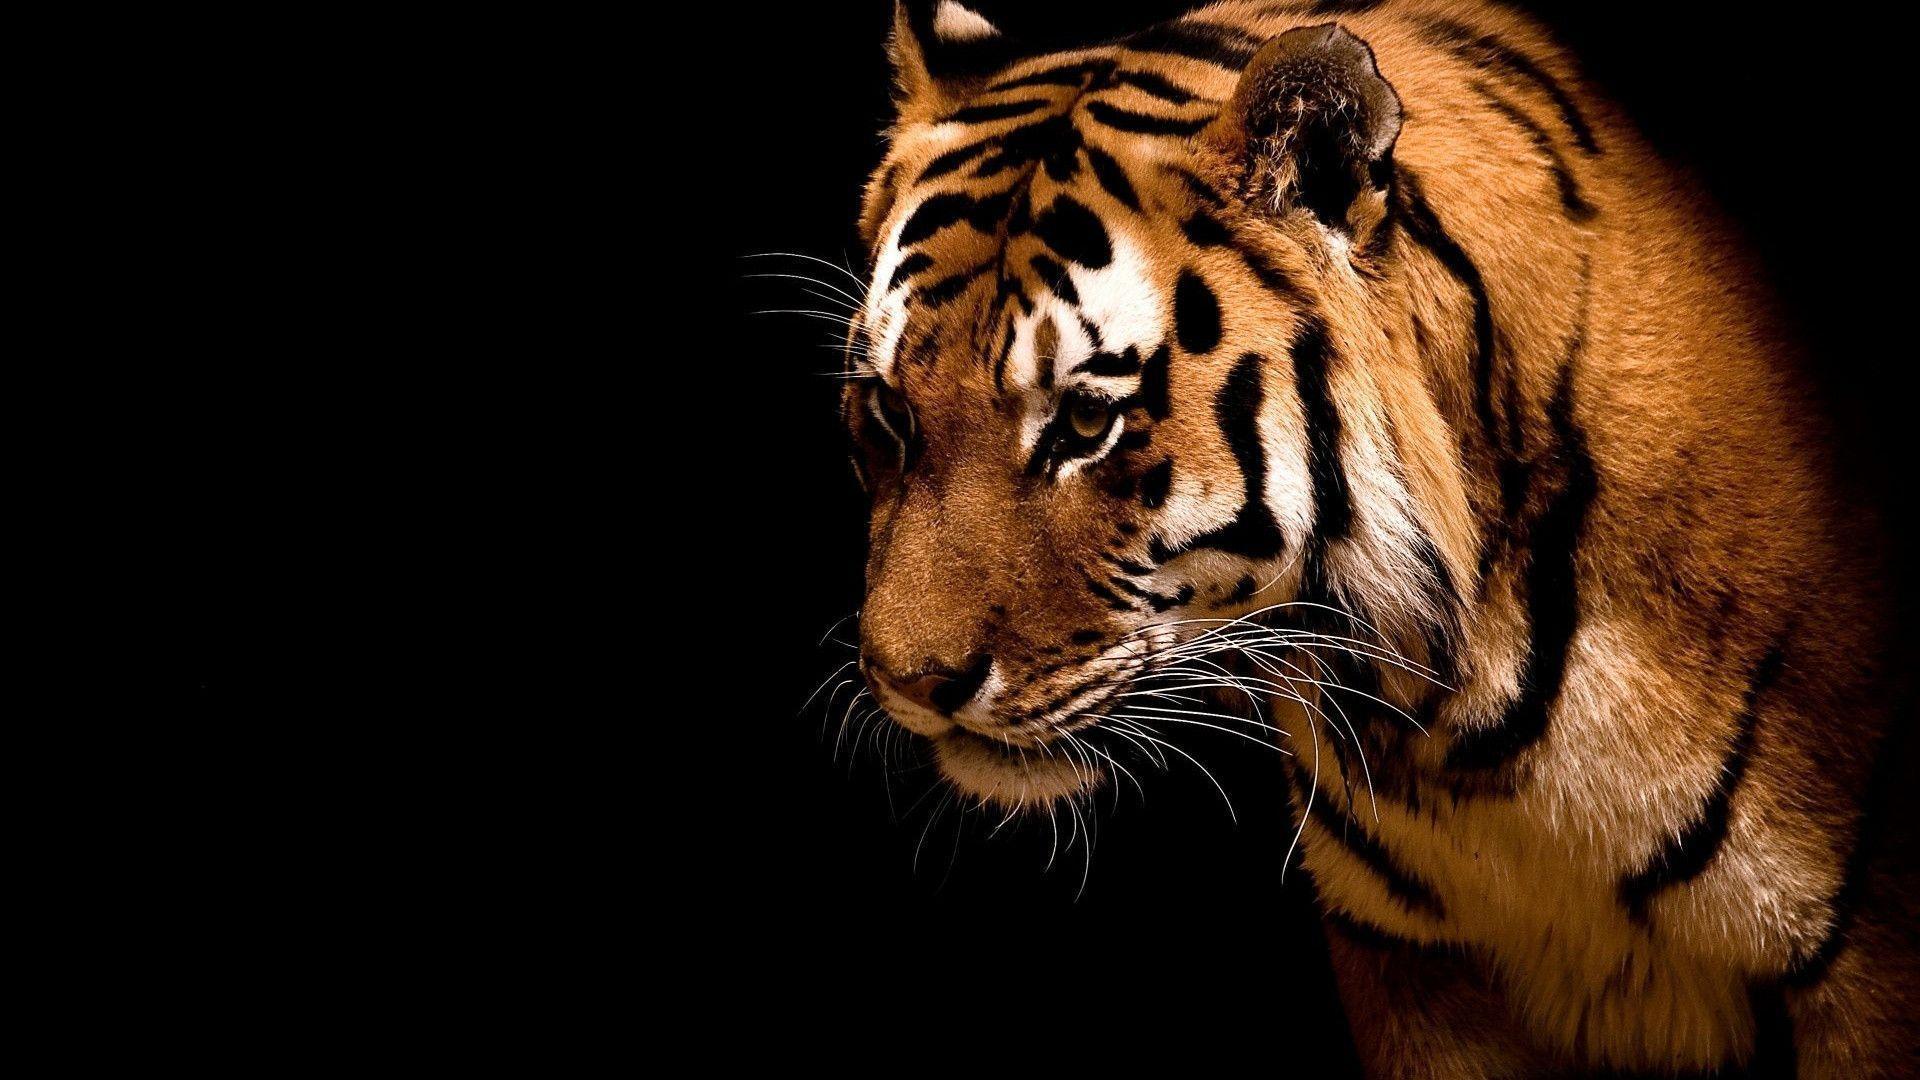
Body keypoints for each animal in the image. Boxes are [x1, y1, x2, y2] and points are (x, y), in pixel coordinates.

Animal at [835, 1, 1917, 1075]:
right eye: (890, 413)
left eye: (1085, 422)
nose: (911, 684)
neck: (1458, 728)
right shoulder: (1409, 959)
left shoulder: (1863, 964)